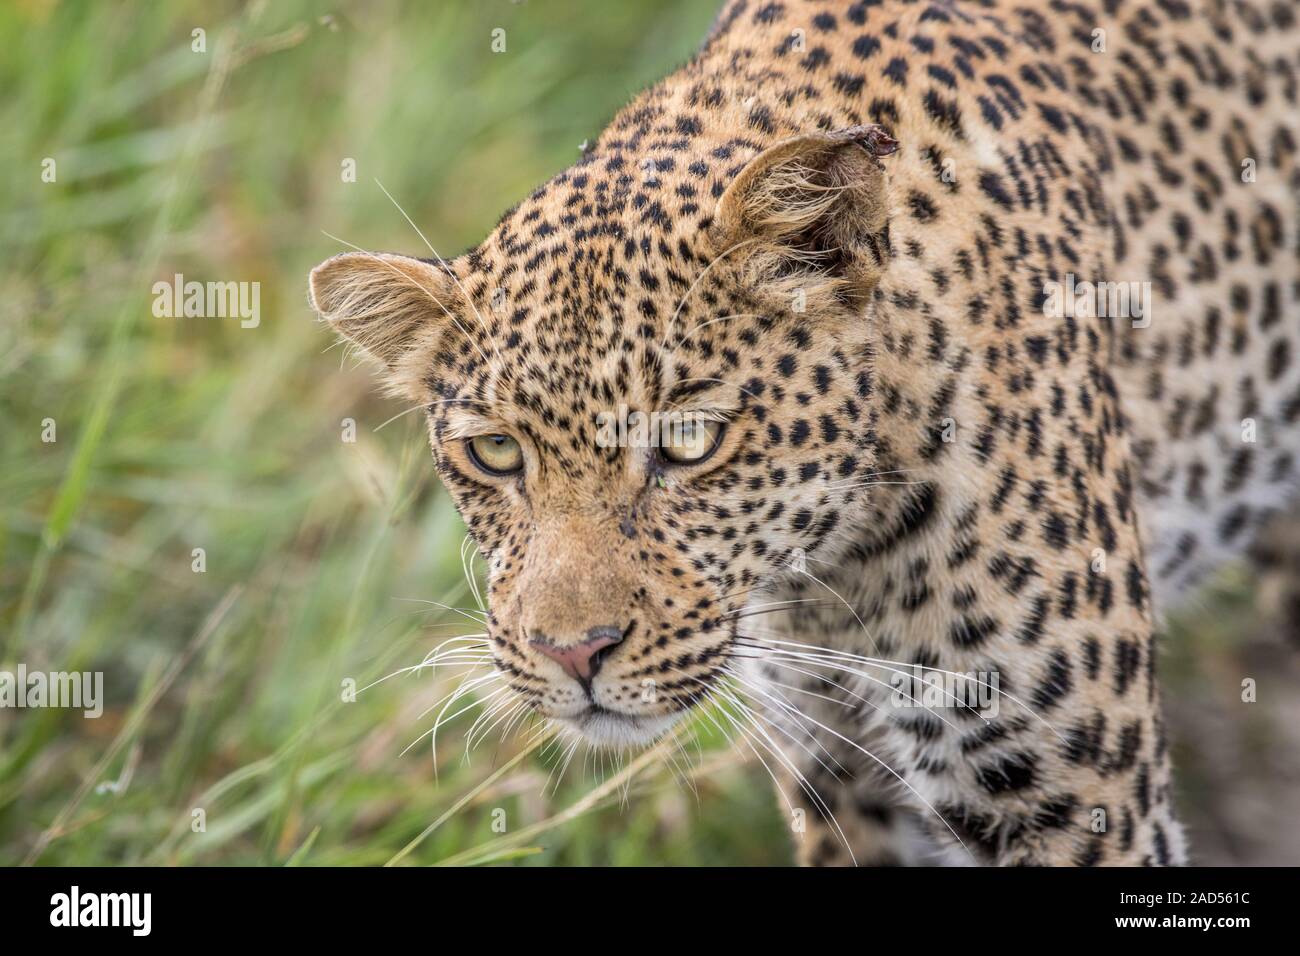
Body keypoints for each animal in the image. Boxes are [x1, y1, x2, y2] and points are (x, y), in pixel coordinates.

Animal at [307, 0, 1300, 866]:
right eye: (496, 453)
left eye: (689, 440)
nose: (572, 654)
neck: (832, 573)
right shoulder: (837, 769)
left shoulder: (1074, 803)